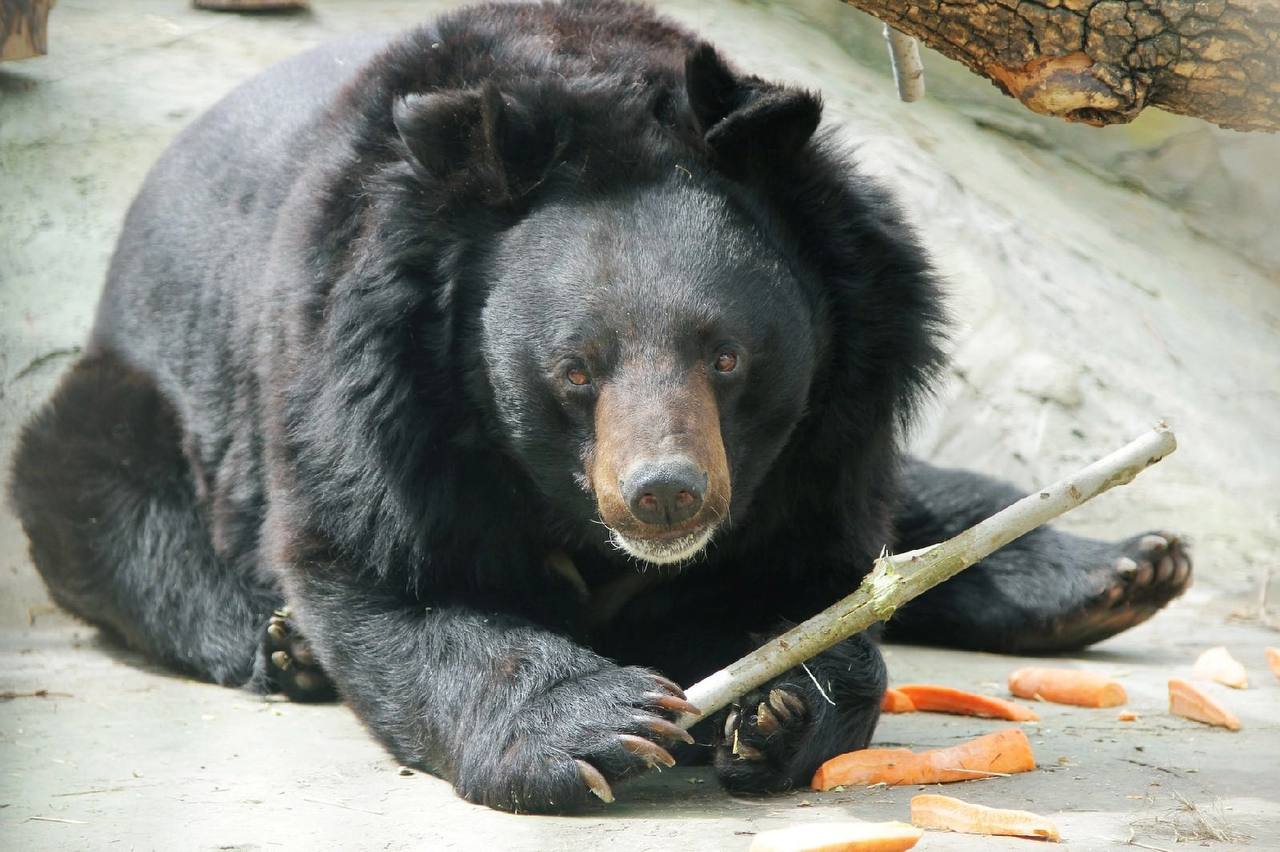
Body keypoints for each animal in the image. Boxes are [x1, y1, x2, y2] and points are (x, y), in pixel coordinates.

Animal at [7, 0, 1187, 808]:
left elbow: (818, 575)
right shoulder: (364, 377)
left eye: (725, 357)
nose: (665, 496)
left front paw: (774, 703)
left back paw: (1124, 571)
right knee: (116, 514)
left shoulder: (840, 410)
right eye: (576, 370)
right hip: (134, 399)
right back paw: (281, 644)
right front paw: (598, 724)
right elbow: (387, 577)